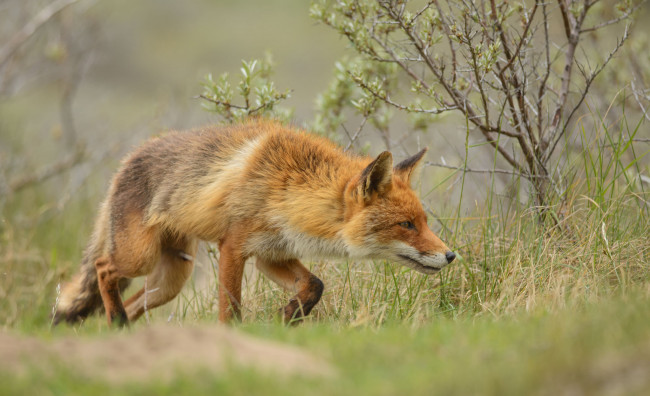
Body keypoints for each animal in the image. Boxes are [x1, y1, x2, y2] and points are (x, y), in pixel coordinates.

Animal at [53, 119, 454, 326]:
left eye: (423, 221)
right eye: (406, 225)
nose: (451, 256)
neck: (286, 190)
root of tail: (126, 161)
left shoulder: (271, 254)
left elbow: (315, 285)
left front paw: (289, 316)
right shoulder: (234, 248)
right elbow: (230, 310)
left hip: (171, 279)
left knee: (136, 301)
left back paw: (122, 332)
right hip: (139, 257)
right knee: (103, 269)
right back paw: (116, 320)